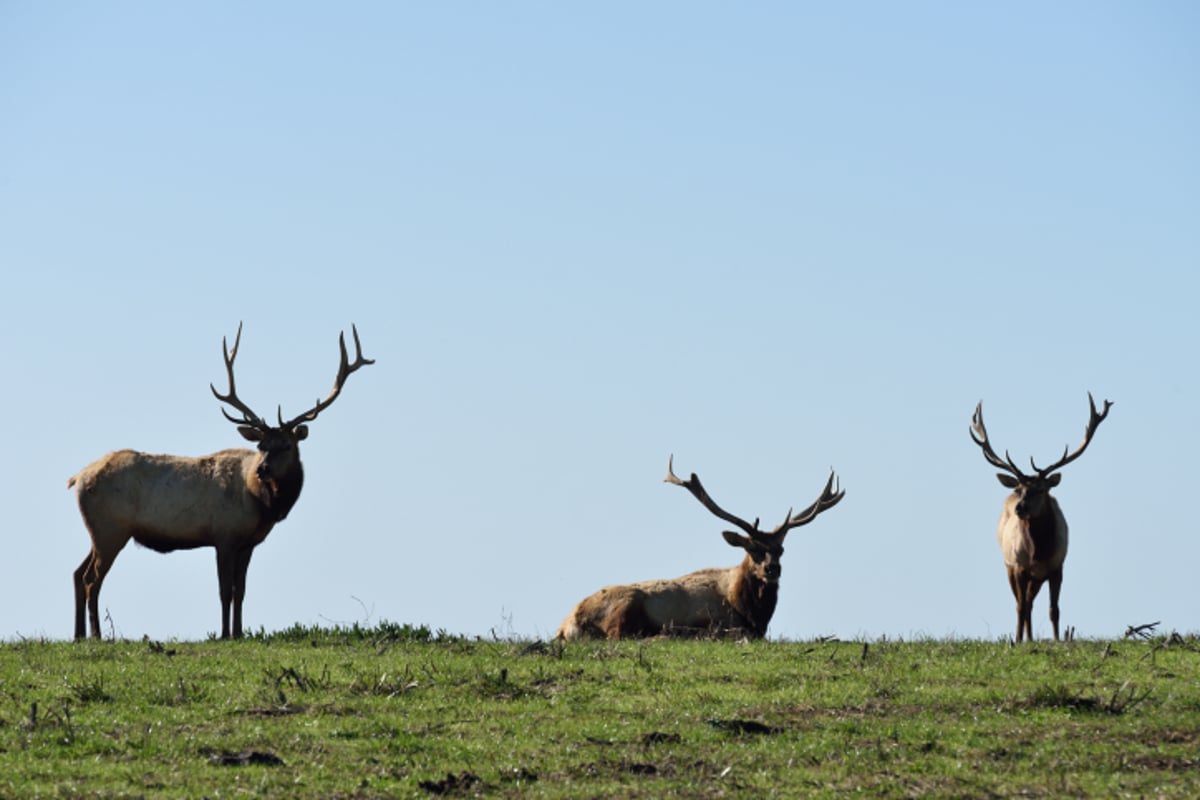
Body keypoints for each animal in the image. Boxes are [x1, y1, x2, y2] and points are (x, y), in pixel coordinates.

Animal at [68, 321, 372, 642]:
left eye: (286, 445)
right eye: (262, 445)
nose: (263, 469)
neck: (261, 504)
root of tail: (77, 477)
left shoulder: (248, 543)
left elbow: (241, 591)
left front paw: (238, 633)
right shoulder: (224, 535)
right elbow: (225, 590)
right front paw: (225, 633)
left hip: (100, 530)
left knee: (77, 573)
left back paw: (78, 635)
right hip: (110, 528)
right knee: (91, 579)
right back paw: (97, 635)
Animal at [554, 453, 844, 642]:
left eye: (780, 550)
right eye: (752, 549)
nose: (773, 569)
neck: (750, 611)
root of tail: (566, 626)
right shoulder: (718, 620)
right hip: (626, 604)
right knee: (620, 635)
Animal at [969, 393, 1108, 642]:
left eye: (1041, 489)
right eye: (1019, 489)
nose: (1020, 508)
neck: (1039, 553)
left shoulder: (1057, 567)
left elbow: (1054, 609)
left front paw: (1057, 640)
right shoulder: (1019, 568)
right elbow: (1020, 607)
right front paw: (1017, 641)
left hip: (1036, 579)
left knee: (1030, 603)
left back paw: (1031, 637)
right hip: (1009, 567)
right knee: (1023, 604)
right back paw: (1025, 638)